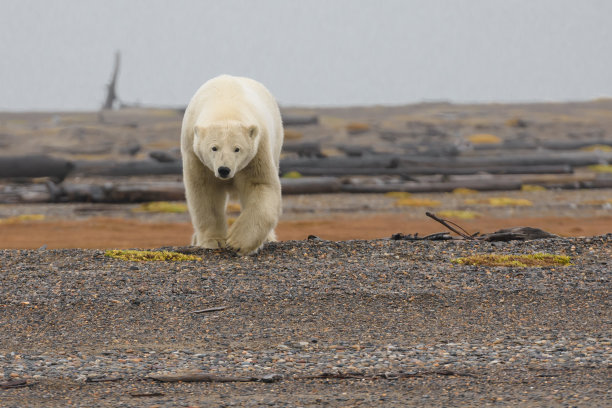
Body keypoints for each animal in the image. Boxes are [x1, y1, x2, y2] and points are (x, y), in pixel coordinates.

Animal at [182, 74, 284, 255]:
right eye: (214, 147)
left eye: (237, 148)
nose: (224, 170)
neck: (226, 106)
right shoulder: (195, 155)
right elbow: (205, 191)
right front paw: (214, 241)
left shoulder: (258, 150)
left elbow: (260, 184)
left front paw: (237, 242)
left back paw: (268, 238)